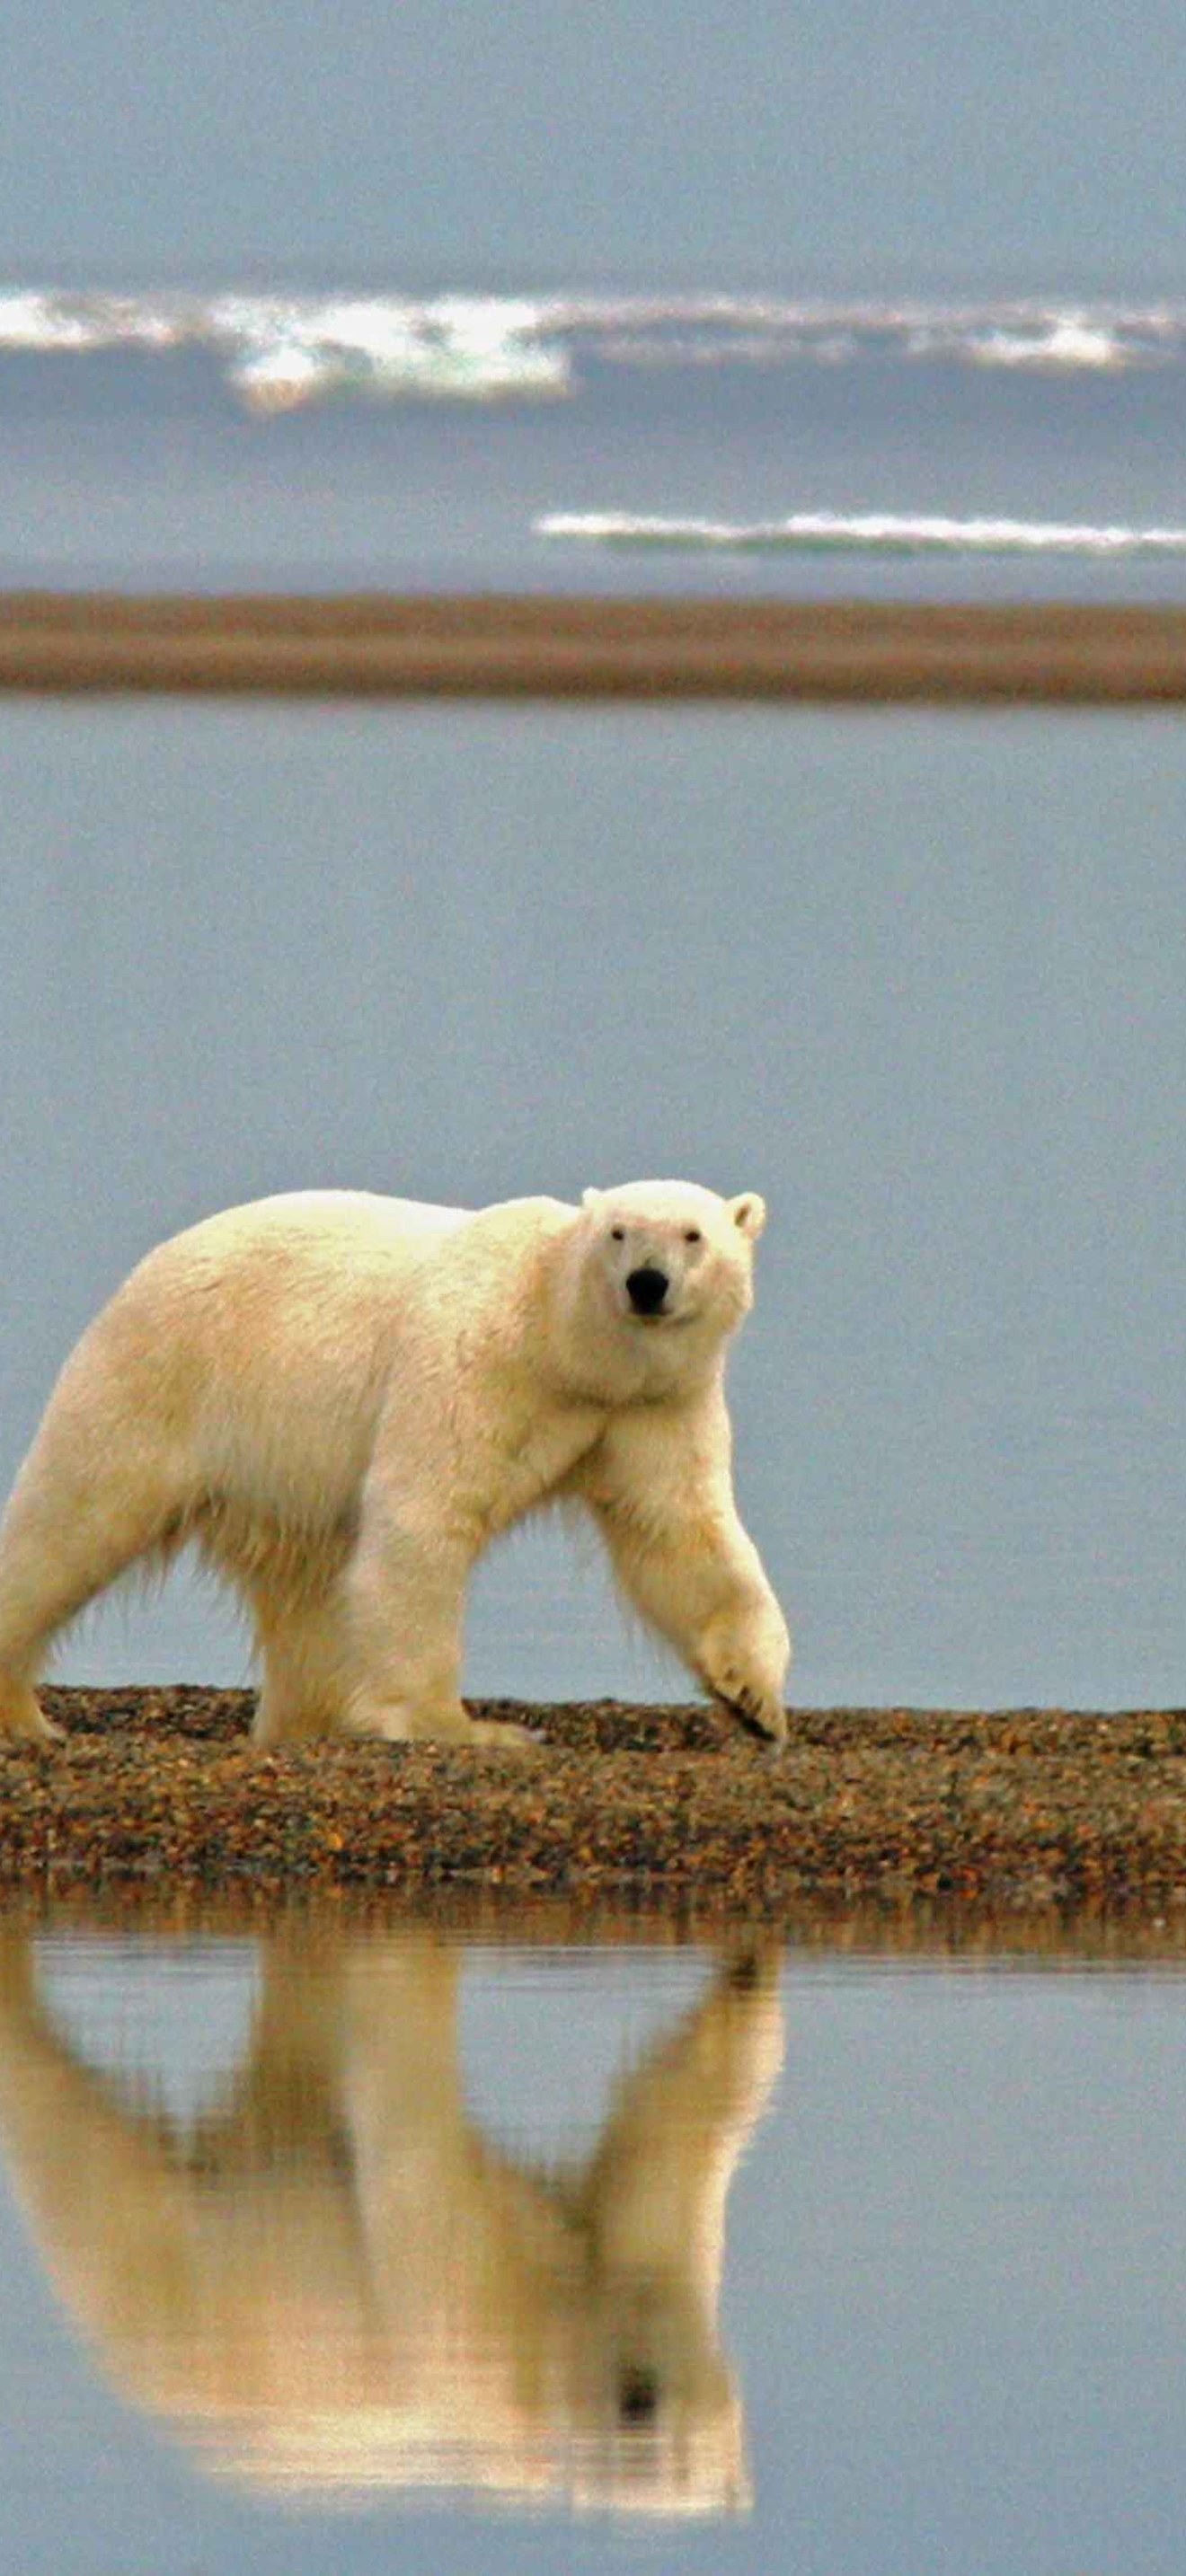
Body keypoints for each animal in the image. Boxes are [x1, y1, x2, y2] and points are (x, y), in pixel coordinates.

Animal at [0, 1179, 790, 1753]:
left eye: (693, 1235)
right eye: (618, 1233)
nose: (647, 1284)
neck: (563, 1348)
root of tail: (143, 1270)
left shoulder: (652, 1404)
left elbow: (679, 1530)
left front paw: (754, 1699)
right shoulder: (475, 1361)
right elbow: (425, 1512)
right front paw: (464, 1726)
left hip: (281, 1464)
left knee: (307, 1584)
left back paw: (310, 1722)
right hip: (164, 1375)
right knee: (72, 1522)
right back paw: (25, 1713)